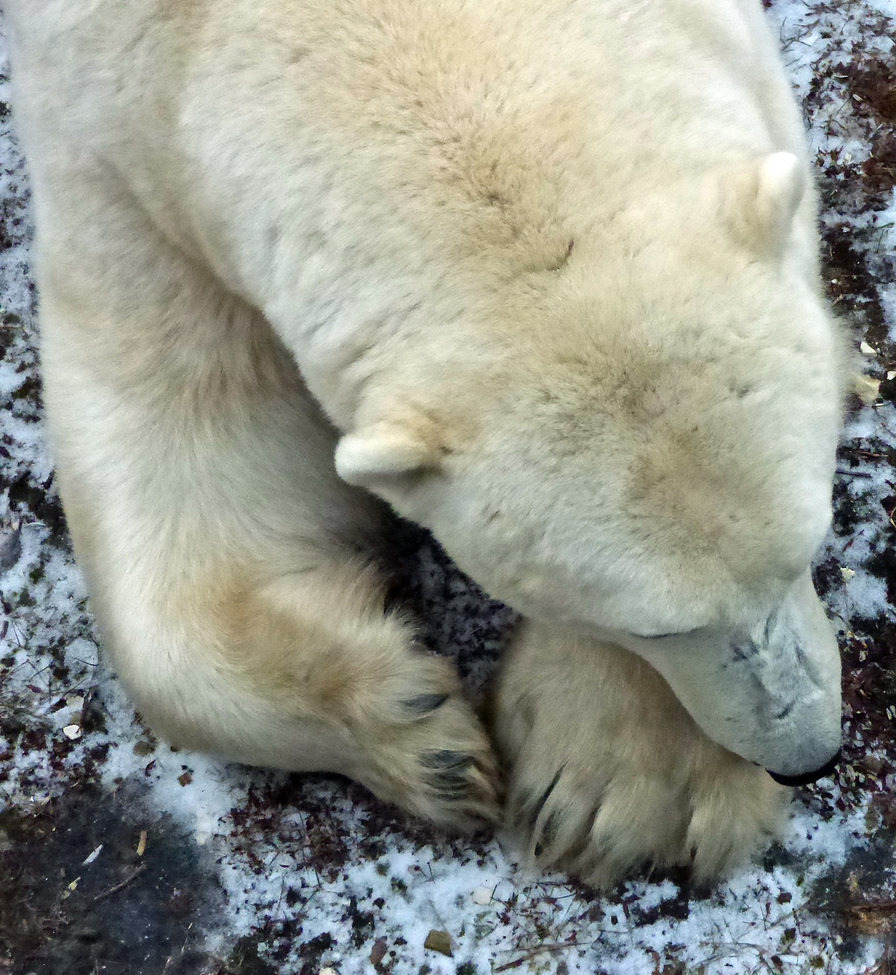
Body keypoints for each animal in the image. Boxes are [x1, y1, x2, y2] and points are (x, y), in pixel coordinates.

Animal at [6, 0, 846, 885]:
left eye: (811, 543)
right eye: (656, 630)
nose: (808, 756)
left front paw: (636, 789)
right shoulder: (108, 138)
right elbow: (183, 424)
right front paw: (424, 736)